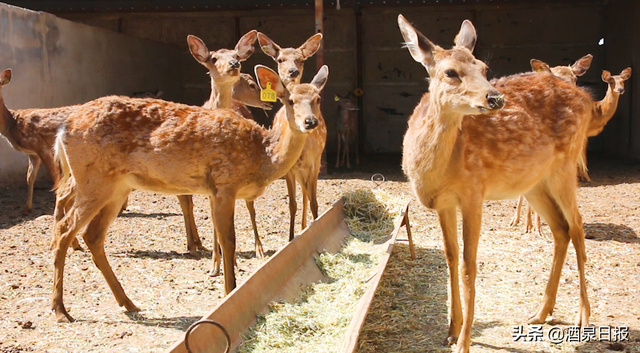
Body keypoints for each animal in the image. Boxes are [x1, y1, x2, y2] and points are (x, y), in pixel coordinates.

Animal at [50, 64, 330, 322]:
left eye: (317, 99)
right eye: (290, 100)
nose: (310, 122)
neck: (262, 156)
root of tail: (63, 130)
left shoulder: (216, 191)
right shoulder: (224, 183)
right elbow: (229, 242)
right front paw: (230, 292)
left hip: (117, 186)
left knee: (92, 235)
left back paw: (129, 303)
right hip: (93, 179)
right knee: (64, 230)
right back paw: (61, 310)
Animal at [256, 32, 324, 239]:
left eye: (317, 99)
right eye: (280, 59)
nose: (310, 121)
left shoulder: (314, 163)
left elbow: (314, 202)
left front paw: (314, 227)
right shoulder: (288, 169)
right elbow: (292, 204)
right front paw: (291, 237)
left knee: (307, 195)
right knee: (302, 195)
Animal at [400, 14, 596, 352]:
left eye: (484, 68)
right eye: (450, 72)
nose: (494, 97)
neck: (435, 171)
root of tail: (585, 97)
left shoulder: (473, 192)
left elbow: (469, 266)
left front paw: (463, 341)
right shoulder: (444, 204)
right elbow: (451, 258)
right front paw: (451, 329)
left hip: (565, 165)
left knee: (578, 225)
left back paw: (583, 316)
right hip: (534, 183)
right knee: (561, 229)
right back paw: (541, 312)